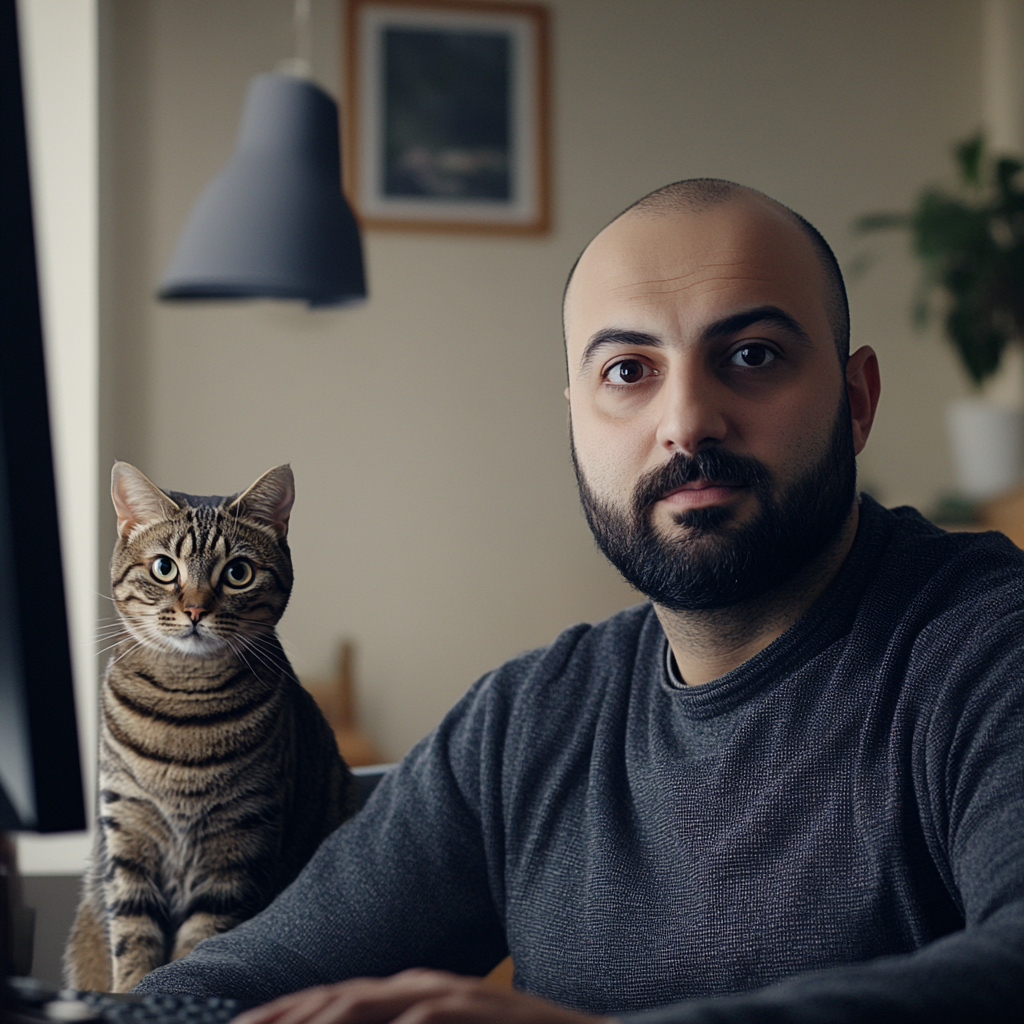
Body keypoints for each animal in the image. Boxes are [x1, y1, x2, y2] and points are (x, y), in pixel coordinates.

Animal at [66, 464, 358, 991]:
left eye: (238, 573)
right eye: (165, 568)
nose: (197, 610)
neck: (184, 709)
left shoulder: (236, 844)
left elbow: (199, 942)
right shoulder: (128, 831)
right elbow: (133, 935)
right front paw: (127, 991)